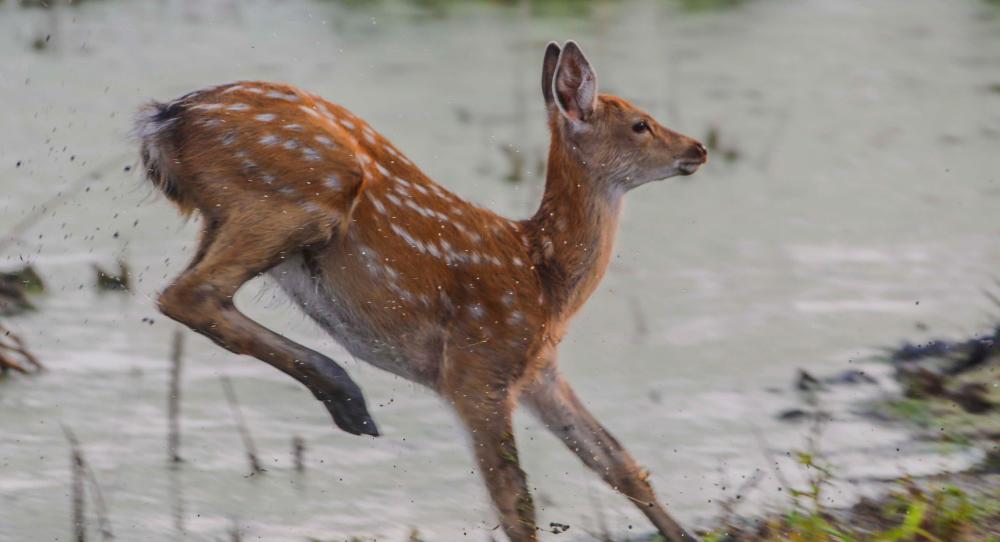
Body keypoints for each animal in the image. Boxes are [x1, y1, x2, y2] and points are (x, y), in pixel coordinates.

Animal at [137, 40, 708, 540]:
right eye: (640, 123)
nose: (698, 148)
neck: (546, 276)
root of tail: (165, 119)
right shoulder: (477, 366)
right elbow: (515, 501)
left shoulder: (538, 369)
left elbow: (618, 462)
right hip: (301, 194)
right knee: (188, 293)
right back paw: (346, 395)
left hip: (230, 215)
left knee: (190, 292)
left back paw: (346, 401)